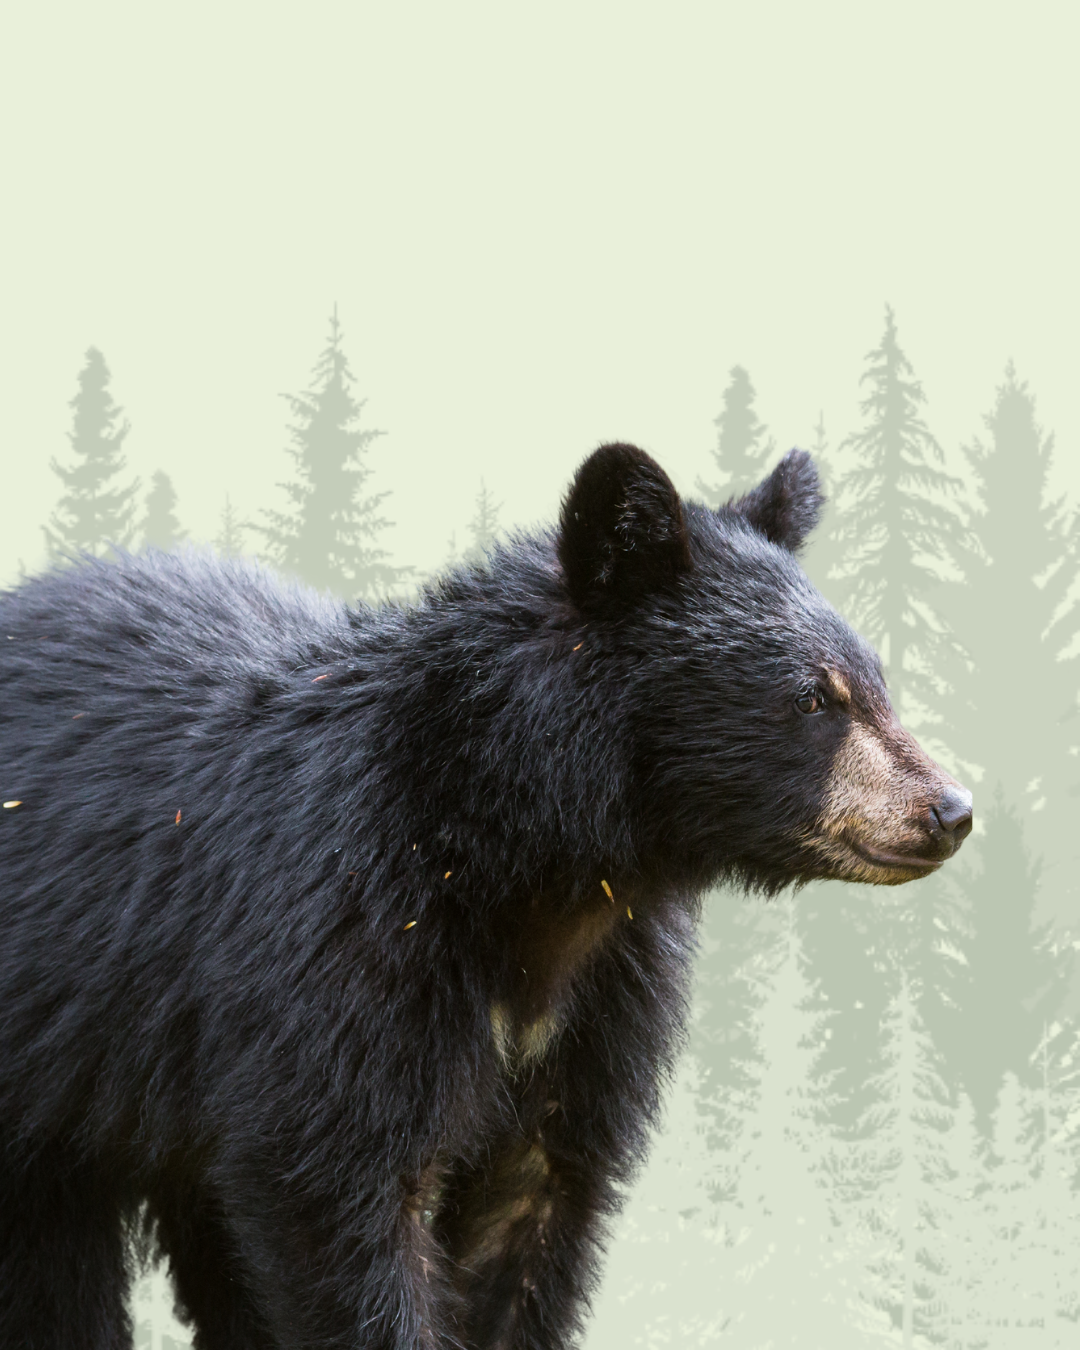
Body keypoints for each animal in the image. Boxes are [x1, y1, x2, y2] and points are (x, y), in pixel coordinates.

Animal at [0, 443, 971, 1349]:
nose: (950, 811)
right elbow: (334, 1187)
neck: (525, 865)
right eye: (813, 699)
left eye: (876, 681)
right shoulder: (337, 941)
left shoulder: (604, 996)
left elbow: (534, 1205)